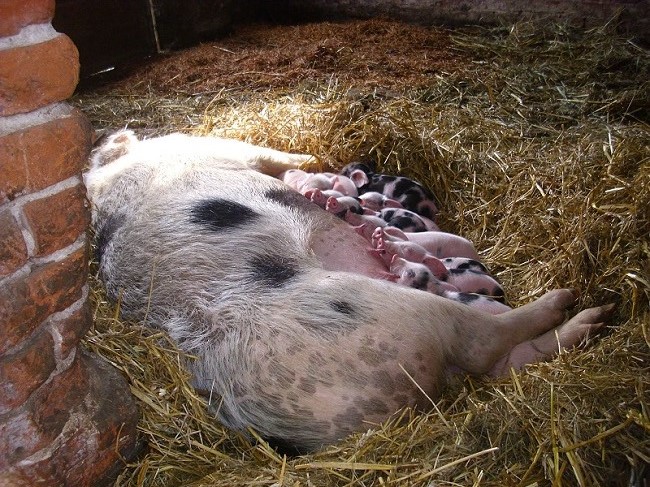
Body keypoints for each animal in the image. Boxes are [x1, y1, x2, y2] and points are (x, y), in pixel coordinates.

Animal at [85, 130, 614, 454]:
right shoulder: (216, 145)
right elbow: (268, 154)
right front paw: (306, 160)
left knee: (499, 364)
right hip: (396, 314)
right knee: (487, 343)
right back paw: (580, 305)